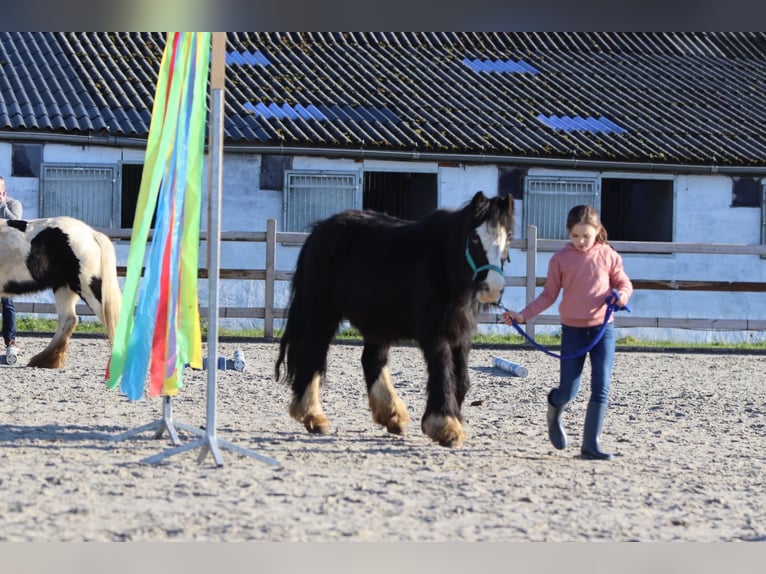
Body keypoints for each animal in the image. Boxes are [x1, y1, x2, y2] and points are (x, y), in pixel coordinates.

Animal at [276, 191, 516, 448]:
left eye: (509, 237)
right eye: (474, 237)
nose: (493, 288)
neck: (443, 264)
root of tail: (318, 231)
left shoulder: (461, 334)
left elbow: (461, 380)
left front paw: (452, 421)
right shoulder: (435, 334)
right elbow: (443, 372)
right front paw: (446, 427)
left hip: (376, 323)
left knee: (372, 360)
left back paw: (392, 416)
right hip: (322, 313)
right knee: (314, 355)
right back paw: (313, 417)